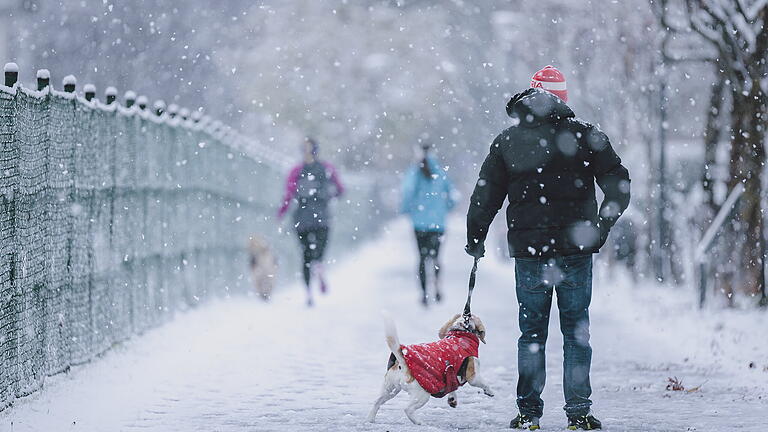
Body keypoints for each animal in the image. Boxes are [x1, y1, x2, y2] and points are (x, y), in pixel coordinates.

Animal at [368, 312, 496, 424]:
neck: (461, 331)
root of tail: (402, 363)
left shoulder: (450, 375)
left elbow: (452, 387)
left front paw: (452, 399)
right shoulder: (473, 376)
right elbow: (484, 383)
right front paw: (490, 391)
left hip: (390, 390)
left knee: (376, 402)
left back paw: (370, 420)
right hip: (422, 395)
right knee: (408, 409)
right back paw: (419, 423)